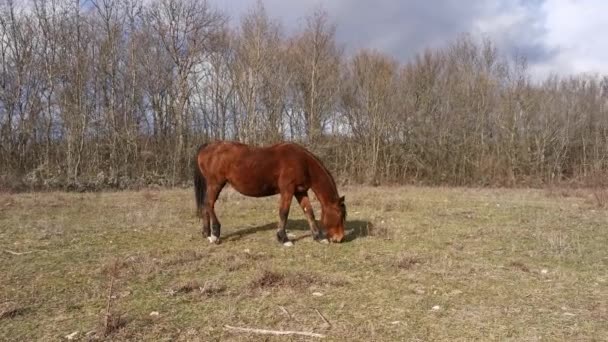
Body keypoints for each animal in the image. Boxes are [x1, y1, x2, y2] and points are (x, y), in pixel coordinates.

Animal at [195, 140, 346, 244]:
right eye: (340, 215)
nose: (339, 238)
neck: (302, 163)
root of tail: (208, 146)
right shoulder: (287, 190)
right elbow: (284, 212)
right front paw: (283, 238)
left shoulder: (300, 191)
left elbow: (309, 212)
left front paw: (318, 237)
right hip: (215, 184)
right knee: (209, 204)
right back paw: (215, 234)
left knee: (205, 206)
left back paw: (206, 233)